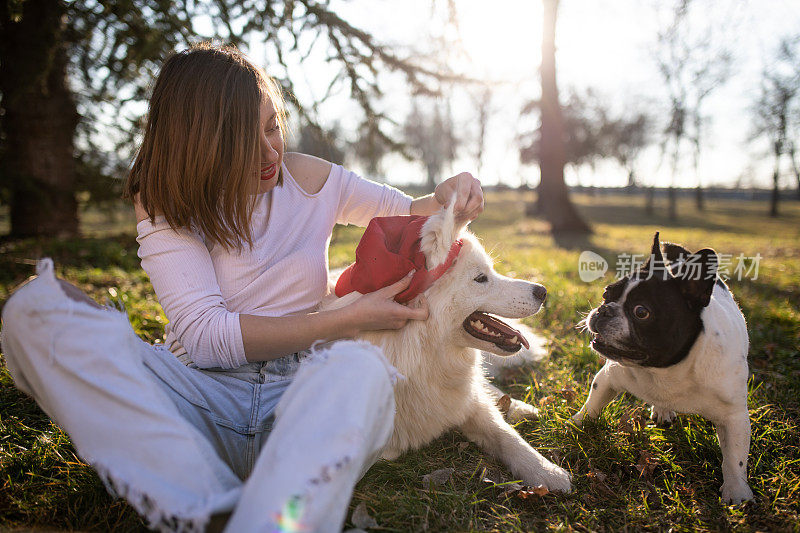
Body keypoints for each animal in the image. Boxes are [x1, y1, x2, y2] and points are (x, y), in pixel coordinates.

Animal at [322, 203, 572, 490]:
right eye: (481, 278)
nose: (542, 291)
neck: (420, 355)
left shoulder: (469, 402)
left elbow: (505, 434)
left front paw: (546, 472)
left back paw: (520, 407)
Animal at [572, 233, 752, 502]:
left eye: (641, 312)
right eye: (606, 293)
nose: (604, 309)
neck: (665, 370)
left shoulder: (734, 415)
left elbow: (735, 457)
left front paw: (737, 492)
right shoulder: (609, 376)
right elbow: (592, 405)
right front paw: (576, 423)